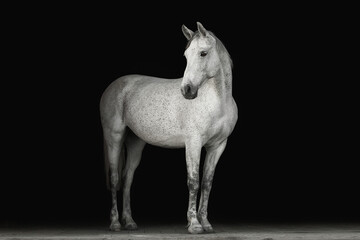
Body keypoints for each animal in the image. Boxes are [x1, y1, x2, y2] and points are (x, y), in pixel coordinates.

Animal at [100, 22, 238, 234]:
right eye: (186, 55)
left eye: (203, 53)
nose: (186, 90)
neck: (219, 101)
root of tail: (113, 86)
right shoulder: (193, 144)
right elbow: (193, 182)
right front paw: (194, 224)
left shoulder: (218, 146)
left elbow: (207, 183)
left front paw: (206, 223)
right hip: (114, 138)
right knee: (115, 178)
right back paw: (115, 223)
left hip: (135, 142)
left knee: (127, 179)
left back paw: (129, 222)